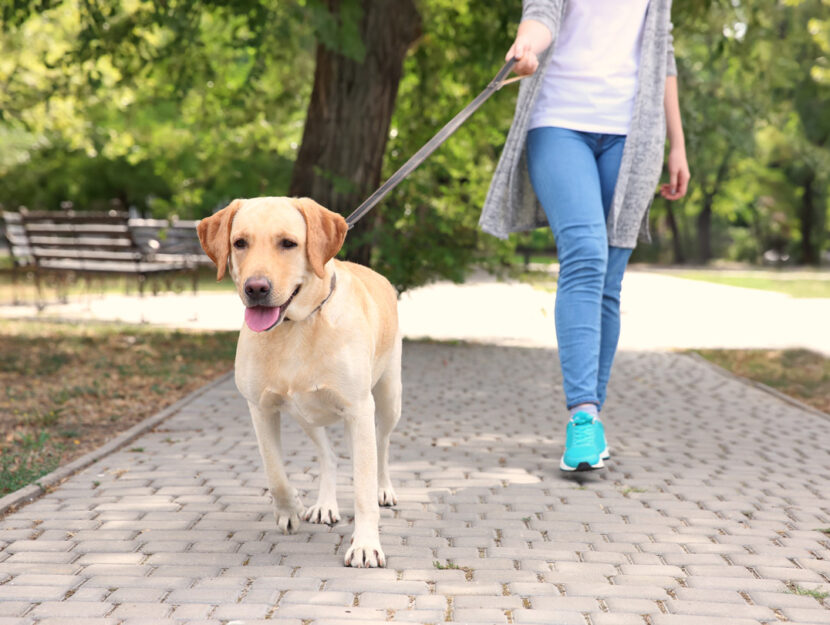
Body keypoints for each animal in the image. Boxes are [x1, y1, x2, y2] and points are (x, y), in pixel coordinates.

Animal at [197, 195, 402, 564]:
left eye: (288, 243)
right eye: (240, 243)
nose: (256, 288)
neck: (296, 326)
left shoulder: (358, 408)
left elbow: (363, 487)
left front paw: (366, 544)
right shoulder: (260, 408)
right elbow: (274, 470)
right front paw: (289, 507)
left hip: (388, 399)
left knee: (381, 446)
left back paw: (384, 489)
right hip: (305, 414)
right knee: (329, 455)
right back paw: (324, 504)